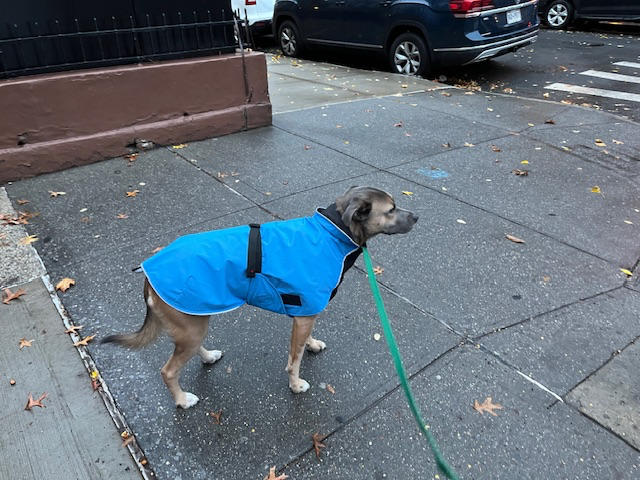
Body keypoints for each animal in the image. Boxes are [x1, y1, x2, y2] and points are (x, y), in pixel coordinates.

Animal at [102, 187, 418, 408]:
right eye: (391, 209)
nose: (417, 216)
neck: (332, 232)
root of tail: (147, 270)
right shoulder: (303, 317)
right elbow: (294, 359)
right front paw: (295, 384)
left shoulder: (307, 314)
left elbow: (306, 341)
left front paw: (312, 345)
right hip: (190, 326)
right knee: (168, 371)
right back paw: (182, 400)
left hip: (195, 319)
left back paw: (208, 357)